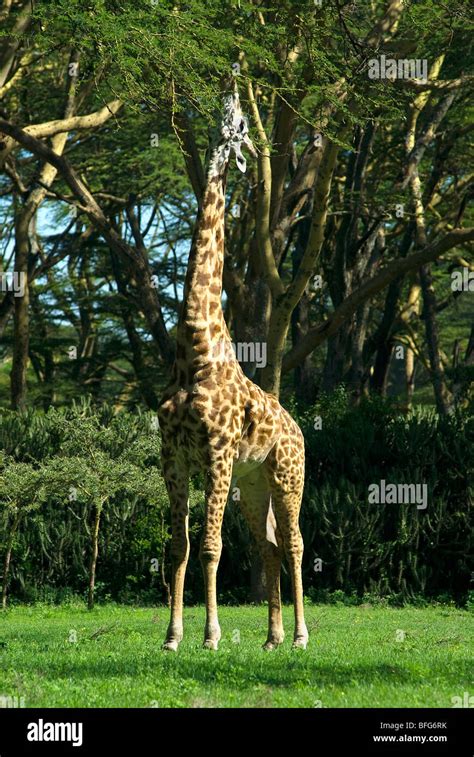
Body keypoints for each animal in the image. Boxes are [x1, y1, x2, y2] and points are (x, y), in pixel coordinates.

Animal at [157, 81, 310, 648]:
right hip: (253, 485)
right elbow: (179, 547)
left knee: (294, 543)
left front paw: (210, 634)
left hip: (287, 476)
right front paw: (172, 636)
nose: (234, 154)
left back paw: (301, 636)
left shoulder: (217, 455)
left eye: (239, 127)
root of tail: (298, 428)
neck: (194, 352)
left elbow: (210, 546)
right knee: (268, 545)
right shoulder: (173, 458)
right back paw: (272, 637)